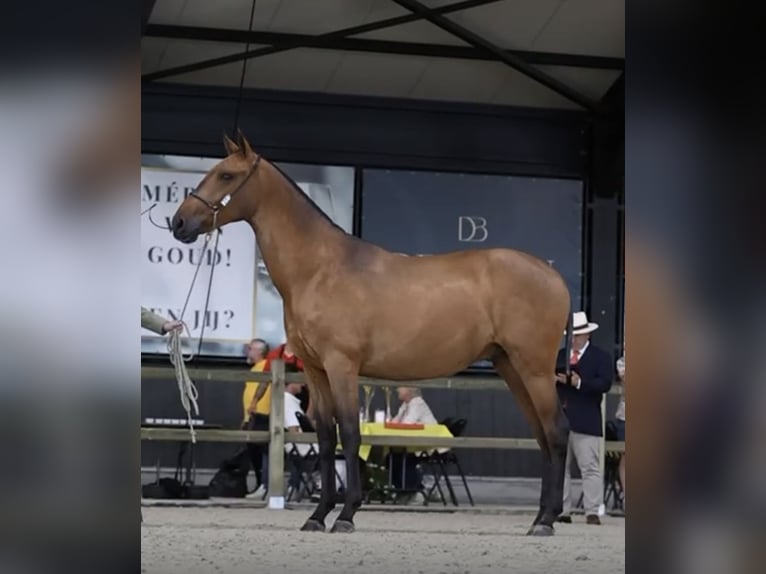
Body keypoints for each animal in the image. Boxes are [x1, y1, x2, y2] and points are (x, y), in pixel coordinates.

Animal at [171, 133, 572, 536]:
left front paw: (346, 515)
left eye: (226, 174)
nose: (178, 222)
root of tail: (553, 276)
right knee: (542, 435)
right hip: (511, 367)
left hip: (534, 369)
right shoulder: (316, 370)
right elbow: (326, 436)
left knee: (556, 431)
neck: (320, 268)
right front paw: (318, 515)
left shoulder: (342, 365)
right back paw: (540, 517)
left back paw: (548, 521)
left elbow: (350, 433)